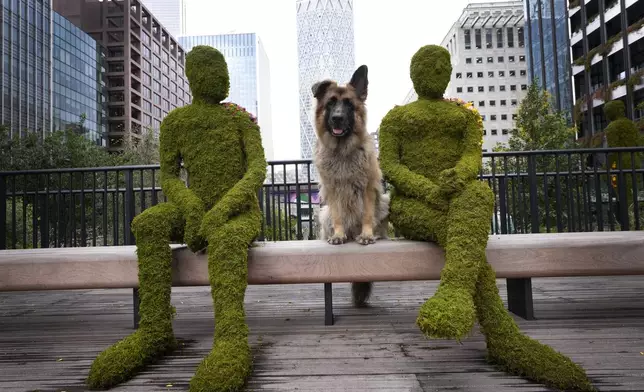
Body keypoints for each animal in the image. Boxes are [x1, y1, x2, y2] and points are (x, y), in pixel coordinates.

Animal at [310, 64, 388, 308]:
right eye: (331, 103)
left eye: (348, 105)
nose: (337, 118)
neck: (342, 151)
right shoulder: (333, 190)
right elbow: (338, 216)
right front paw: (338, 235)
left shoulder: (367, 188)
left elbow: (367, 215)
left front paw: (367, 235)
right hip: (323, 213)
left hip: (384, 202)